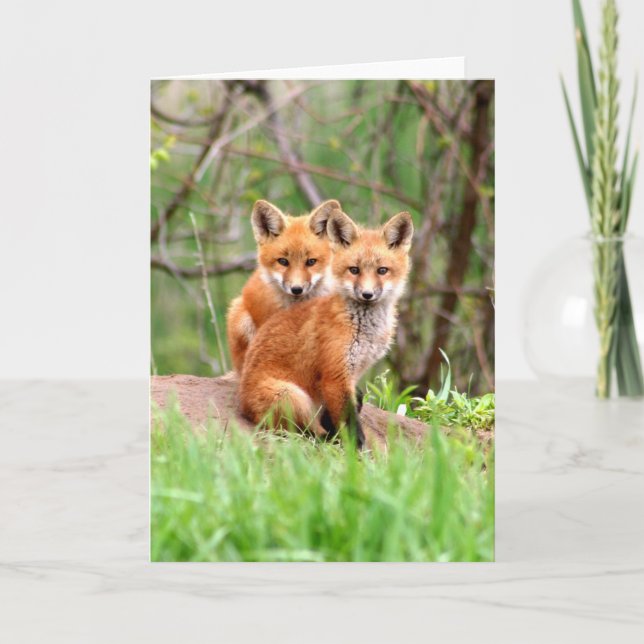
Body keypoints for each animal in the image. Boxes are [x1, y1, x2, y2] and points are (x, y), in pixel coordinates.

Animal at [239, 208, 414, 449]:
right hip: (293, 397)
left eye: (382, 270)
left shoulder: (352, 375)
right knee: (307, 433)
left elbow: (347, 411)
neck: (362, 329)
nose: (367, 294)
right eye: (354, 270)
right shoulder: (335, 375)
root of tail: (243, 406)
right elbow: (350, 425)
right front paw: (356, 451)